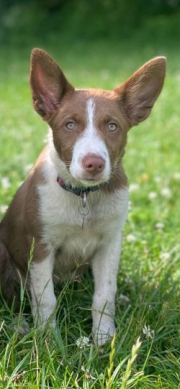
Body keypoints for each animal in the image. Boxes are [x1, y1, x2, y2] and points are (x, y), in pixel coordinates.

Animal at [0, 48, 166, 342]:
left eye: (112, 127)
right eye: (69, 125)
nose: (94, 163)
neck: (84, 197)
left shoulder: (110, 243)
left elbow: (105, 294)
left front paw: (104, 338)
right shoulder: (40, 246)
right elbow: (45, 298)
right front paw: (48, 339)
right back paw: (19, 325)